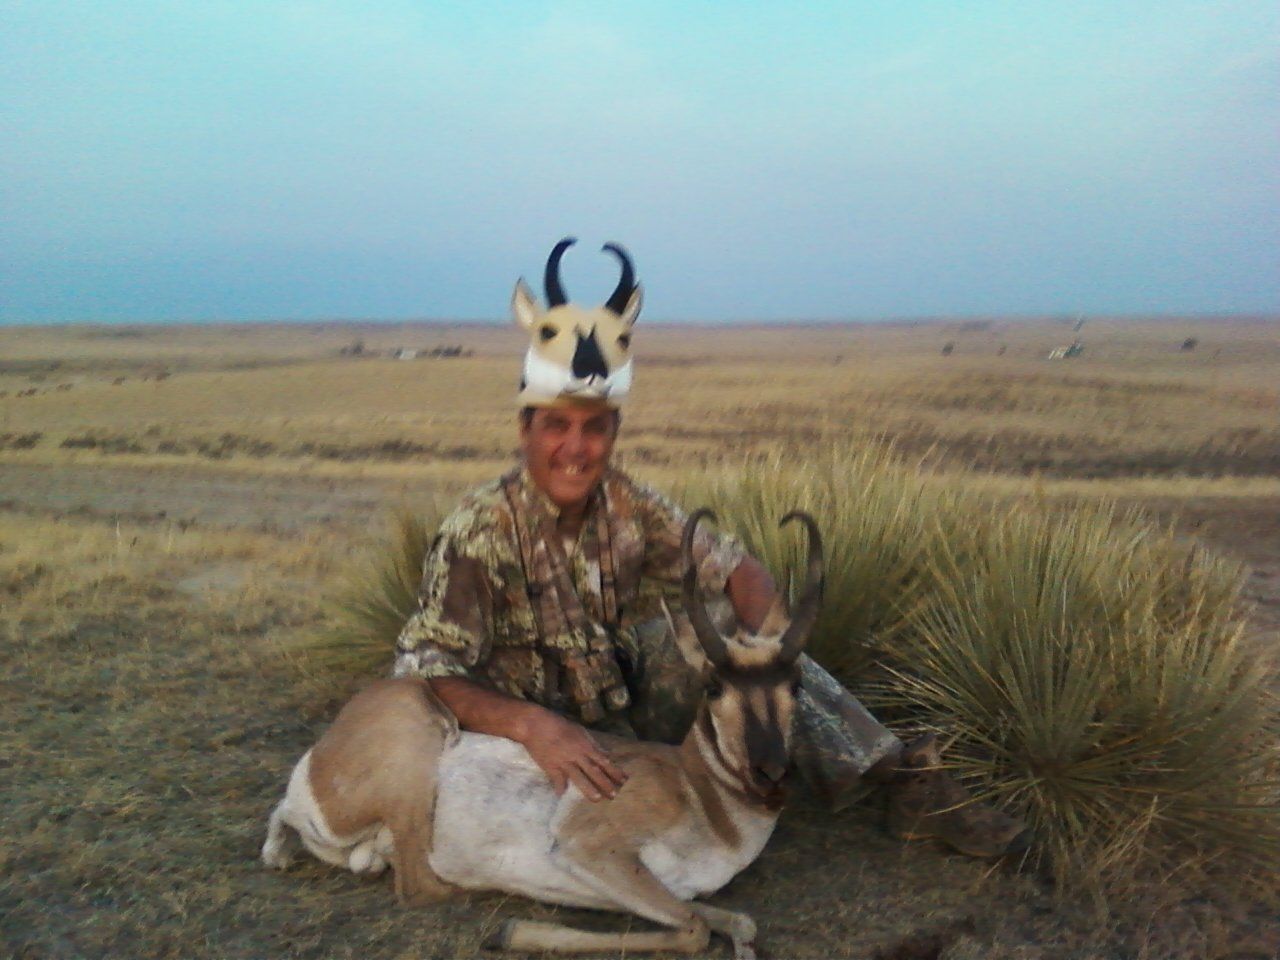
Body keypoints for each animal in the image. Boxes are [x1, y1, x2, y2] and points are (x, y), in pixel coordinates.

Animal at [261, 508, 822, 959]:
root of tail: (318, 761)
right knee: (419, 884)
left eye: (795, 682)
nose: (772, 772)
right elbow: (694, 929)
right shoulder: (589, 849)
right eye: (713, 685)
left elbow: (737, 922)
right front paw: (512, 933)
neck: (694, 788)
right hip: (418, 746)